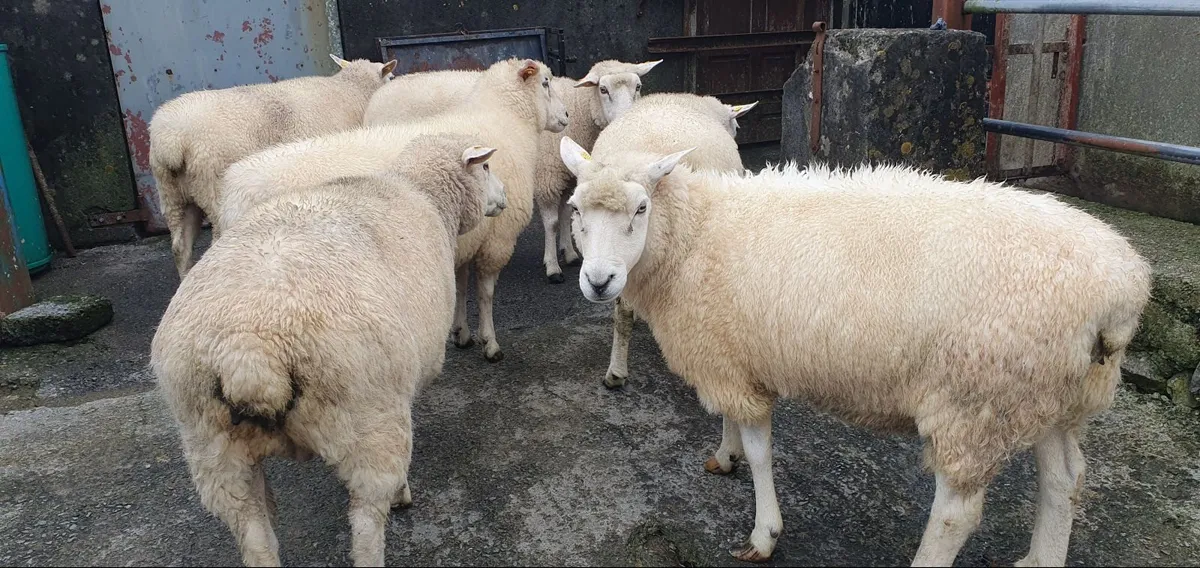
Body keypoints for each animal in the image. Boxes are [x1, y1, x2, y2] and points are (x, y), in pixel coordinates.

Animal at [148, 54, 397, 279]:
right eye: (392, 77)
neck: (352, 89)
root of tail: (172, 140)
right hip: (212, 184)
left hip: (172, 194)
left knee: (179, 246)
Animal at [150, 132, 506, 567]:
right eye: (485, 166)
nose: (504, 198)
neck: (422, 193)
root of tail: (250, 352)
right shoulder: (401, 389)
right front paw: (403, 491)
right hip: (369, 420)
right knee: (367, 522)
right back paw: (391, 508)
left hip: (212, 447)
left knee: (254, 534)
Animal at [219, 57, 568, 363]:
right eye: (546, 83)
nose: (566, 115)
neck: (506, 121)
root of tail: (232, 191)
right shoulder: (497, 238)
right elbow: (485, 294)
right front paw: (490, 343)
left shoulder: (463, 238)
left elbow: (459, 286)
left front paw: (461, 333)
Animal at [363, 59, 663, 282]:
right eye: (603, 90)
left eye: (638, 86)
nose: (626, 119)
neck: (580, 110)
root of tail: (380, 94)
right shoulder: (546, 176)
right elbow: (552, 222)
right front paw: (553, 265)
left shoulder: (567, 175)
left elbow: (567, 213)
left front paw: (569, 252)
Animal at [559, 137, 1152, 566]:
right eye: (574, 210)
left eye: (641, 207)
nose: (598, 281)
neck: (695, 235)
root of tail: (1124, 285)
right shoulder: (732, 355)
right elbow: (731, 423)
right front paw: (724, 454)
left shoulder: (731, 359)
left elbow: (760, 452)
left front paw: (764, 532)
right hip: (1047, 392)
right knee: (1065, 480)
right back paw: (1040, 559)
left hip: (975, 401)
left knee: (957, 515)